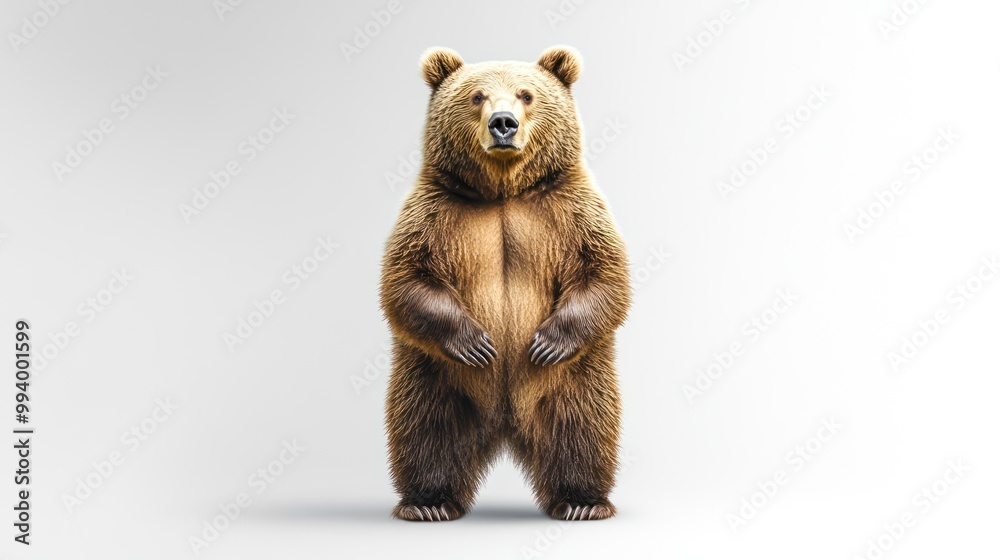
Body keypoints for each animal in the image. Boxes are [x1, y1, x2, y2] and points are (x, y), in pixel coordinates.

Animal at [380, 45, 631, 522]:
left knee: (582, 429)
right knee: (426, 429)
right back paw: (428, 502)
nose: (503, 123)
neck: (503, 192)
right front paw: (476, 343)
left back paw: (581, 500)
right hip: (431, 375)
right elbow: (406, 280)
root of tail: (505, 426)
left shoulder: (571, 211)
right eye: (477, 95)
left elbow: (605, 274)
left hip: (577, 379)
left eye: (526, 94)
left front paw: (547, 342)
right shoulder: (433, 214)